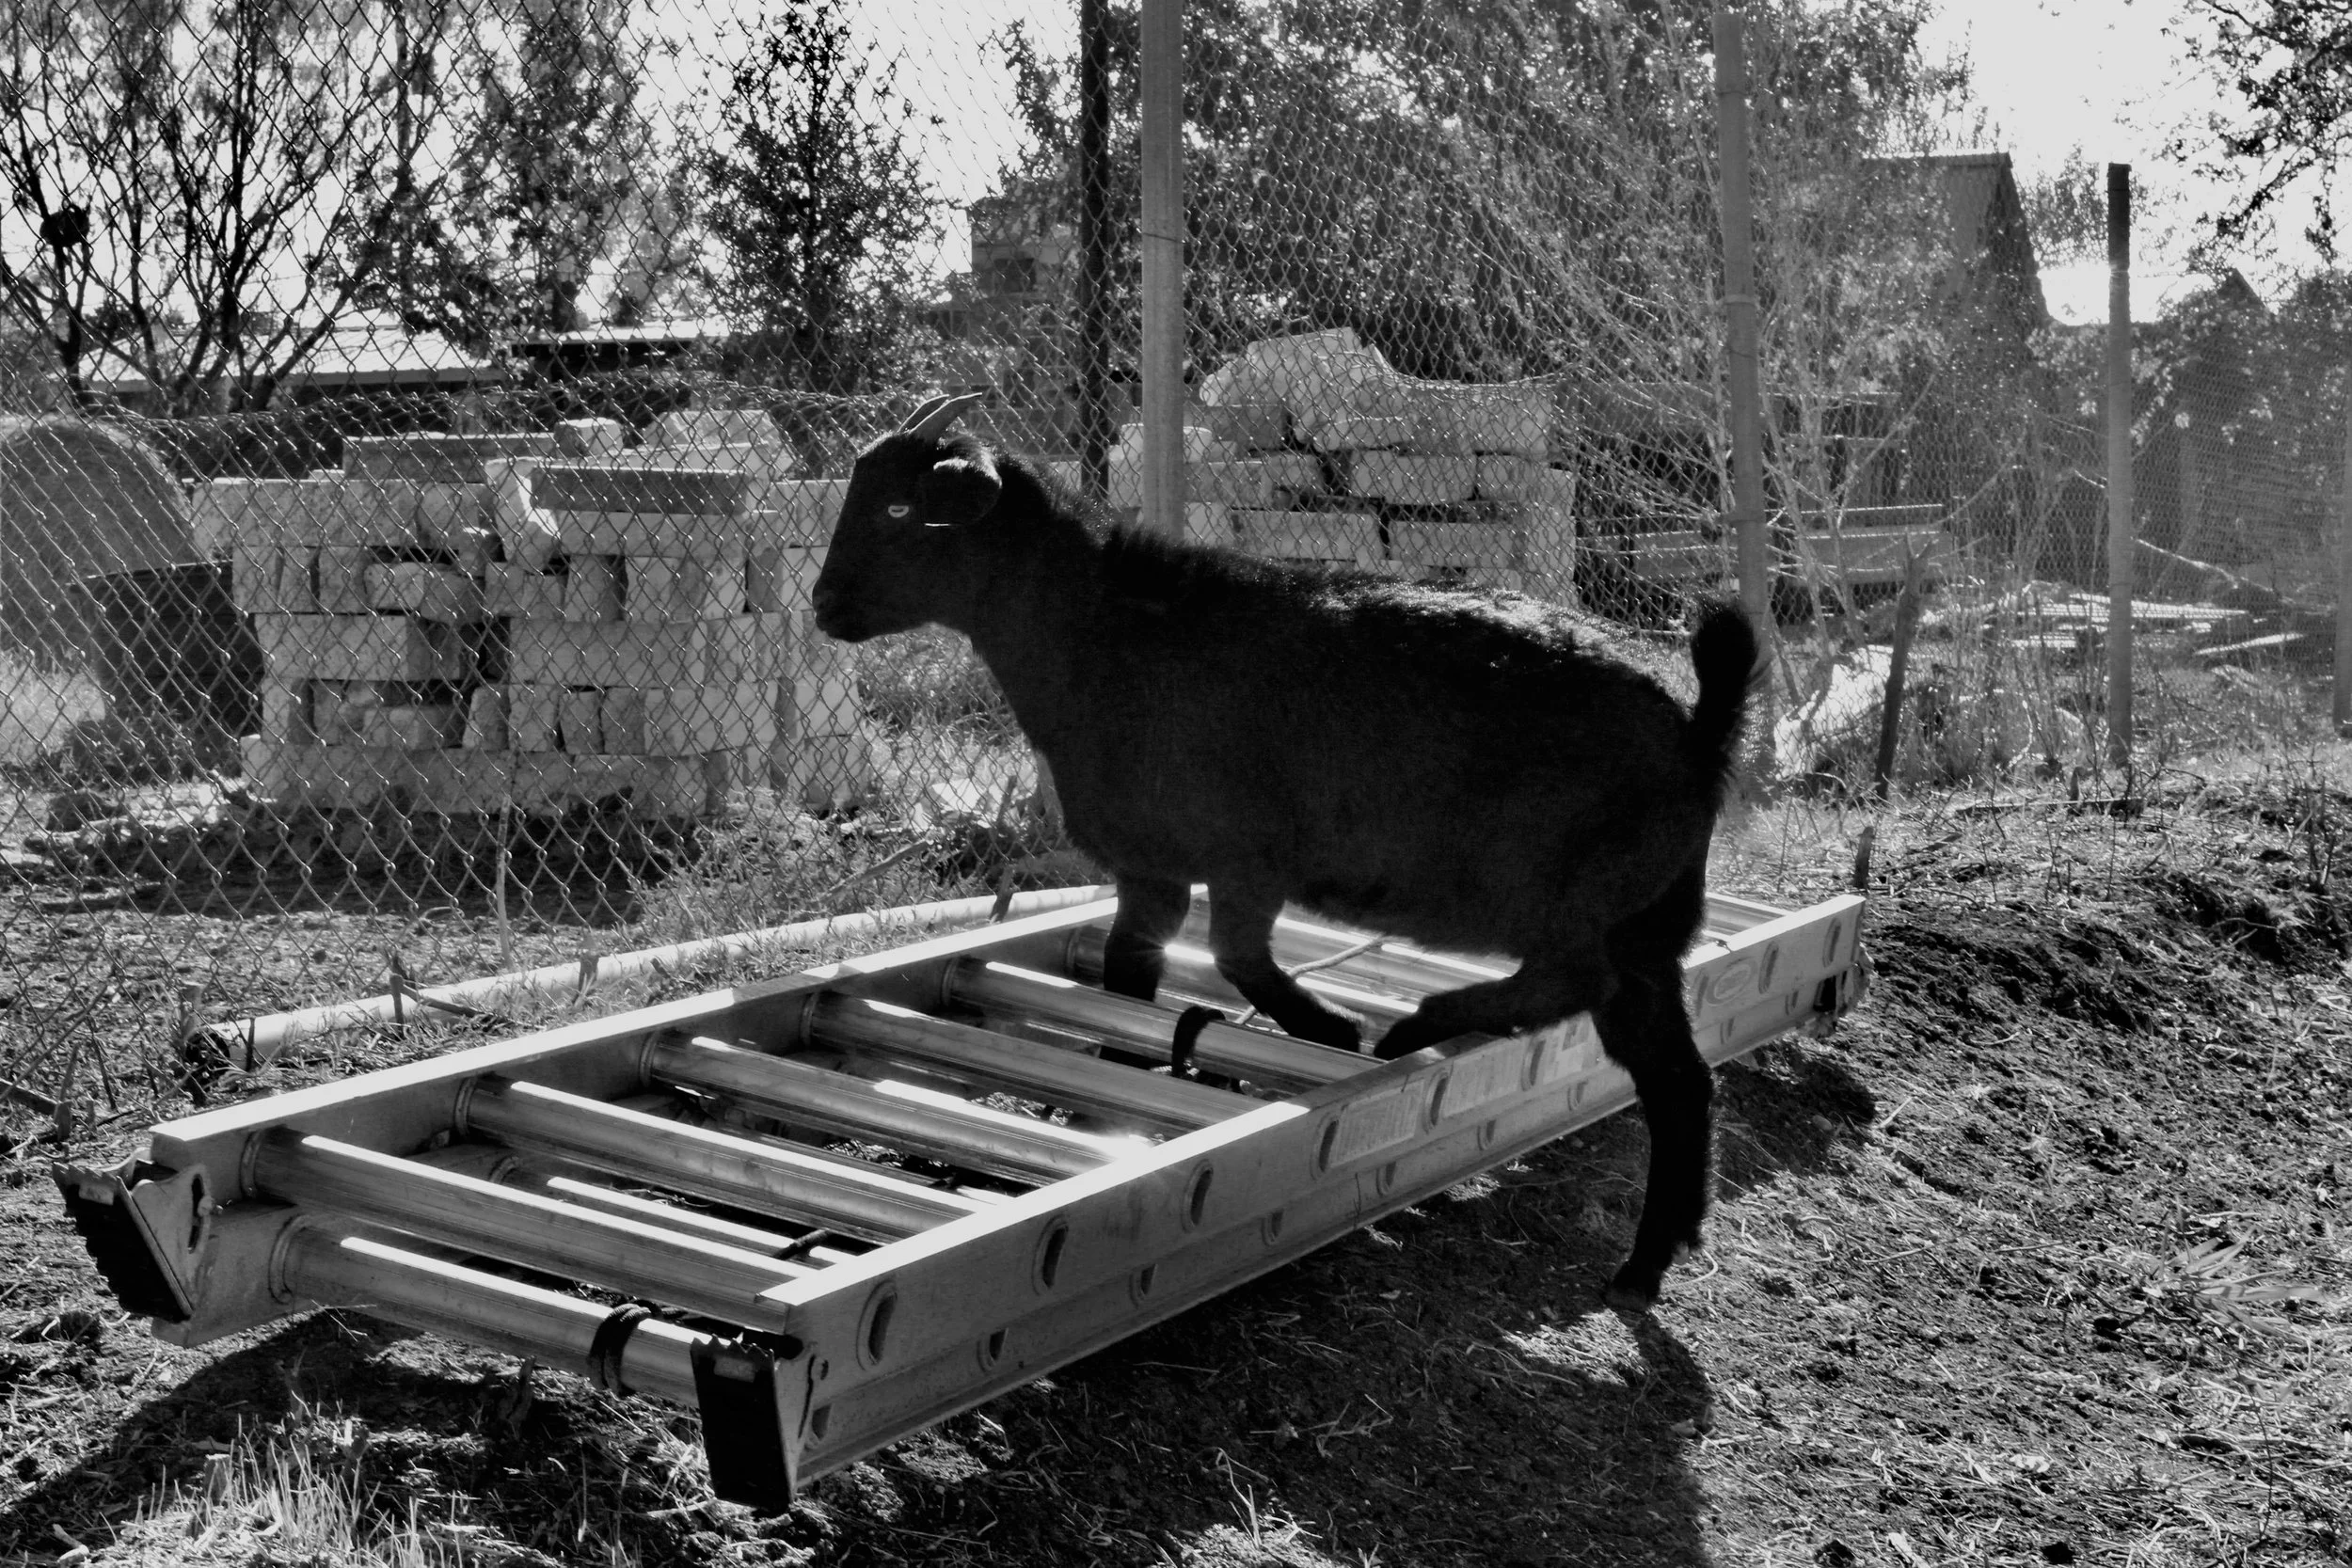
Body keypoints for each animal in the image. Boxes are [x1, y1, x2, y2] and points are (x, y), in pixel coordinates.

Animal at [812, 393, 1758, 1309]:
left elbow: (1237, 958)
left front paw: (1331, 1026)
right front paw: (1116, 1088)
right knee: (1677, 1077)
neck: (1105, 637)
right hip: (1649, 925)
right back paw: (1645, 1262)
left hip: (1580, 897)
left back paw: (1417, 1026)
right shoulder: (1153, 865)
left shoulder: (1248, 855)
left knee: (1571, 982)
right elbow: (1128, 971)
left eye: (900, 506)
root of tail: (1697, 736)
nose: (823, 605)